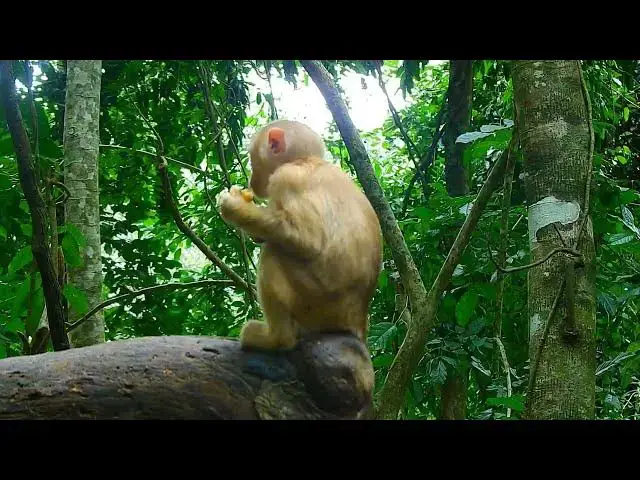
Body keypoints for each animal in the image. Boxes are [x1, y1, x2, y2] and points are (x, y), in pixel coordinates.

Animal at [217, 119, 383, 351]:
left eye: (252, 159)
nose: (251, 181)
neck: (304, 160)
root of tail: (357, 321)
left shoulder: (285, 178)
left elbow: (308, 240)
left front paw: (235, 207)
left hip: (315, 303)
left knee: (274, 252)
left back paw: (276, 339)